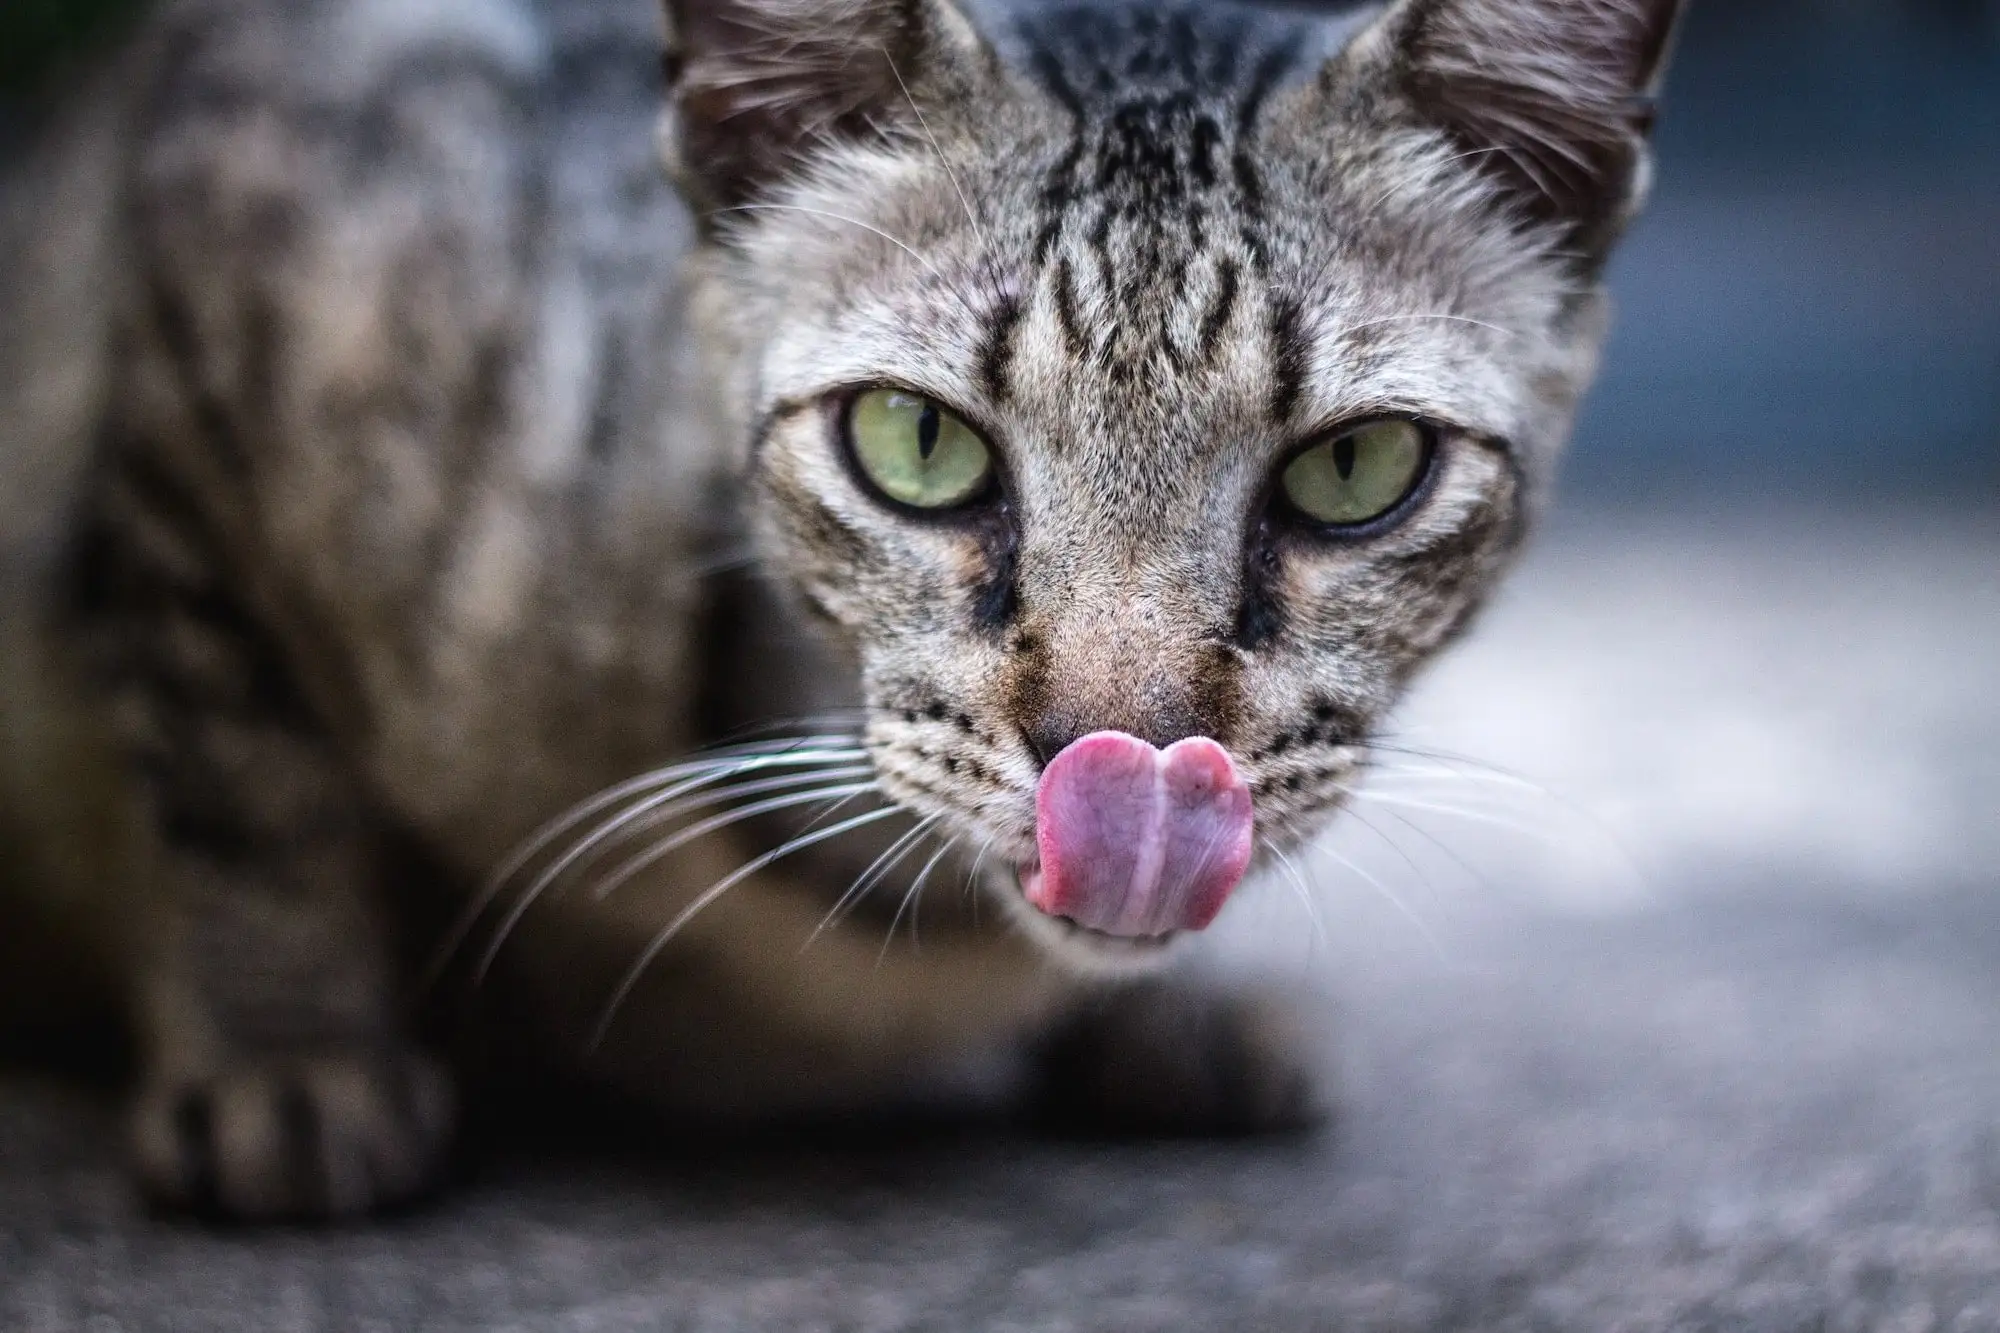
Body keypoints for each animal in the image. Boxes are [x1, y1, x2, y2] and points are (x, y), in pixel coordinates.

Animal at [0, 0, 1688, 1216]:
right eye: (916, 444)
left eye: (1355, 468)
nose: (1130, 758)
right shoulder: (229, 254)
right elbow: (238, 774)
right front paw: (291, 1056)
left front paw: (1173, 1018)